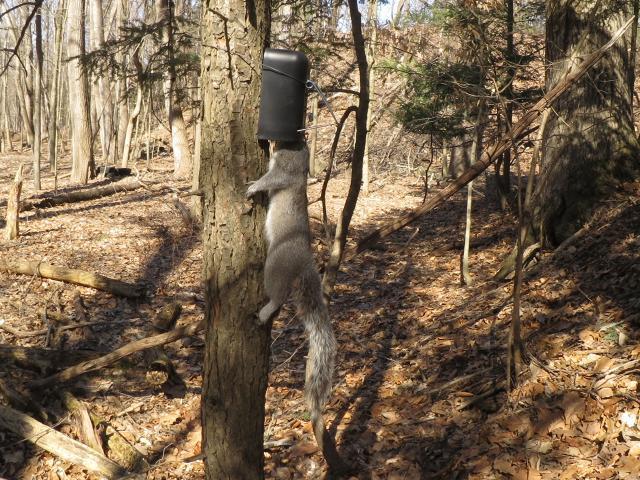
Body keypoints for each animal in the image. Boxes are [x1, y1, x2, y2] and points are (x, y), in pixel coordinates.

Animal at [245, 141, 338, 456]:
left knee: (279, 296)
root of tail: (304, 264)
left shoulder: (286, 169)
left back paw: (265, 311)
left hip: (275, 265)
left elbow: (273, 178)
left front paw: (252, 186)